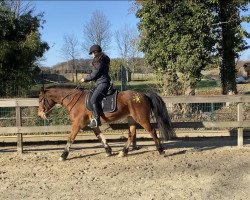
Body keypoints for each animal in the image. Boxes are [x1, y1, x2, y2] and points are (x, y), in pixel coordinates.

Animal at [37, 85, 174, 160]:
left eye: (40, 99)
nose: (40, 115)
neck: (74, 100)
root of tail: (143, 95)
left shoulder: (77, 124)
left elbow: (70, 138)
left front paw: (63, 155)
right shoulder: (93, 124)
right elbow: (100, 137)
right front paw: (108, 150)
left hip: (141, 118)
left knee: (152, 131)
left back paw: (161, 151)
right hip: (131, 118)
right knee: (131, 134)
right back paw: (123, 152)